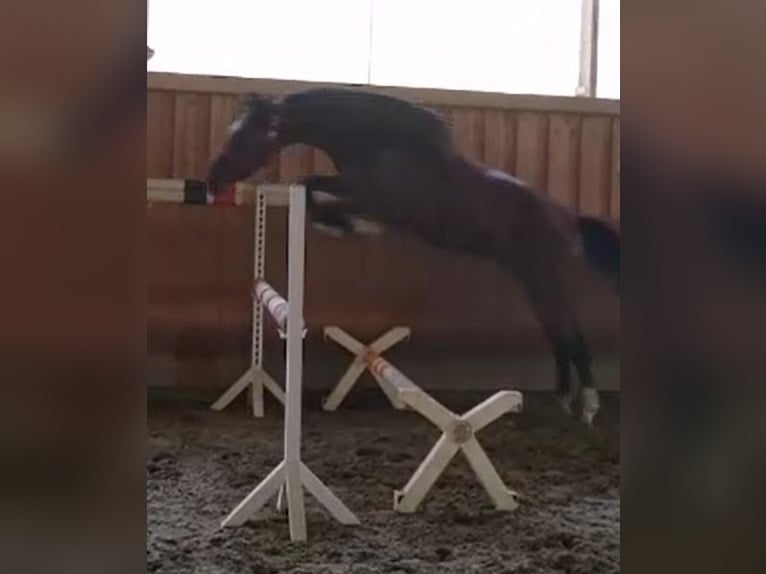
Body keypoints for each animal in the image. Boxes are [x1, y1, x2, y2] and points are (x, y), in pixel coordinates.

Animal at [207, 88, 620, 426]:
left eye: (244, 136)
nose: (212, 181)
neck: (379, 146)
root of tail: (567, 217)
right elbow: (311, 187)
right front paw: (345, 225)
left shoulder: (373, 199)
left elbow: (313, 191)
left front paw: (351, 227)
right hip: (529, 275)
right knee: (558, 331)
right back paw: (567, 400)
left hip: (541, 274)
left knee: (568, 330)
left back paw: (588, 404)